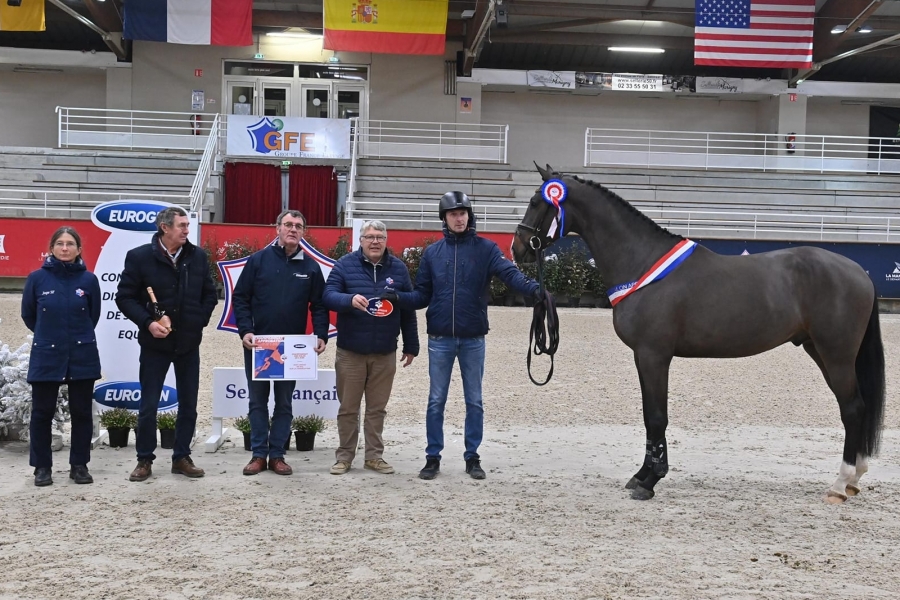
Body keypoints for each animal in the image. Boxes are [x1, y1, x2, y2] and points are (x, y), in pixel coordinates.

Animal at [512, 165, 886, 502]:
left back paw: (839, 484)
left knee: (852, 408)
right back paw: (855, 479)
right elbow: (649, 417)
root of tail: (858, 272)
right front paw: (642, 475)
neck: (641, 262)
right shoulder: (643, 357)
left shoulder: (654, 355)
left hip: (835, 354)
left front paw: (651, 481)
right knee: (858, 407)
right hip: (818, 350)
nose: (518, 248)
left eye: (537, 202)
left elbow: (657, 417)